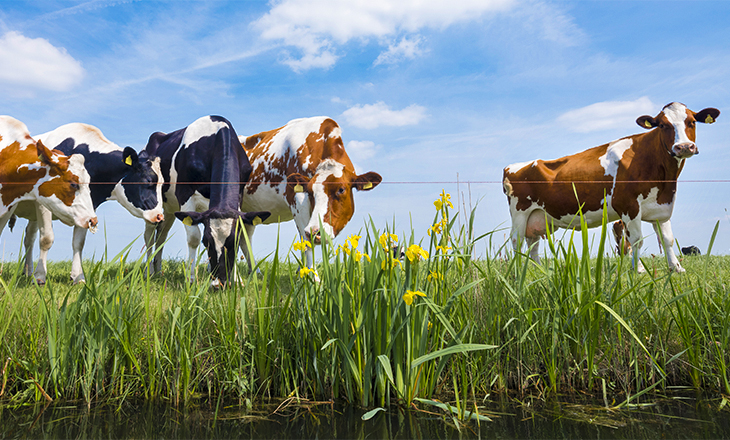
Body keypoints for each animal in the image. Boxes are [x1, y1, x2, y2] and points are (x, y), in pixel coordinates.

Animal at [13, 122, 165, 284]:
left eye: (163, 184)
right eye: (148, 181)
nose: (159, 216)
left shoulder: (87, 210)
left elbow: (78, 242)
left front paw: (78, 277)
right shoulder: (43, 204)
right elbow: (47, 238)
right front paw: (40, 276)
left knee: (29, 237)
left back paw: (27, 271)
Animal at [139, 115, 268, 288]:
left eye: (233, 243)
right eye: (205, 242)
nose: (220, 283)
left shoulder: (239, 198)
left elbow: (242, 237)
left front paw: (237, 279)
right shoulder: (185, 195)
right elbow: (193, 237)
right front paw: (191, 278)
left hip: (169, 209)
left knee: (161, 235)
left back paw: (158, 270)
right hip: (152, 206)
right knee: (149, 236)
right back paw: (149, 271)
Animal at [239, 116, 384, 268]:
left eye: (341, 189)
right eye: (309, 191)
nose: (316, 232)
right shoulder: (297, 200)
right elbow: (307, 242)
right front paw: (311, 273)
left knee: (245, 238)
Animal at [500, 103, 716, 274]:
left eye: (692, 122)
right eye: (663, 125)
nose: (684, 147)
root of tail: (512, 166)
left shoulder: (661, 207)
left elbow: (667, 239)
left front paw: (677, 268)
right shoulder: (628, 205)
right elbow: (635, 240)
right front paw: (638, 270)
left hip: (537, 217)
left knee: (533, 243)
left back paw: (537, 270)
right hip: (519, 213)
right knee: (517, 240)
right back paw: (518, 269)